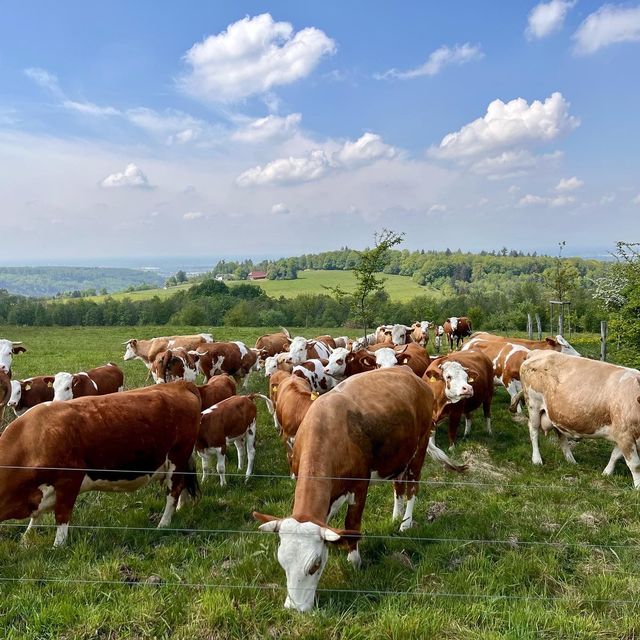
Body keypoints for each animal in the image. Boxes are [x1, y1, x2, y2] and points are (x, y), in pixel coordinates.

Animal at [0, 382, 201, 548]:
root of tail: (180, 384)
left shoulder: (69, 480)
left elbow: (62, 515)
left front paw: (58, 546)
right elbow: (36, 517)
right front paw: (26, 537)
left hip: (177, 456)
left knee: (173, 491)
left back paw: (163, 523)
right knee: (182, 484)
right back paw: (181, 507)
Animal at [251, 368, 464, 612]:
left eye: (315, 565)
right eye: (282, 562)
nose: (294, 608)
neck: (326, 431)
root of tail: (410, 373)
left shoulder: (360, 484)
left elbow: (352, 524)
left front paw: (354, 561)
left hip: (419, 448)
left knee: (412, 486)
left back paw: (406, 523)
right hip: (397, 456)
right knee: (398, 486)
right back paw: (396, 517)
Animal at [516, 352, 640, 488]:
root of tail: (538, 352)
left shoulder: (622, 435)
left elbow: (615, 455)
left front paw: (606, 473)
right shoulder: (625, 435)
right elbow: (635, 465)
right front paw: (638, 487)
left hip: (557, 414)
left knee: (561, 435)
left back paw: (571, 460)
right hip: (533, 404)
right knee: (533, 430)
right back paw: (537, 459)